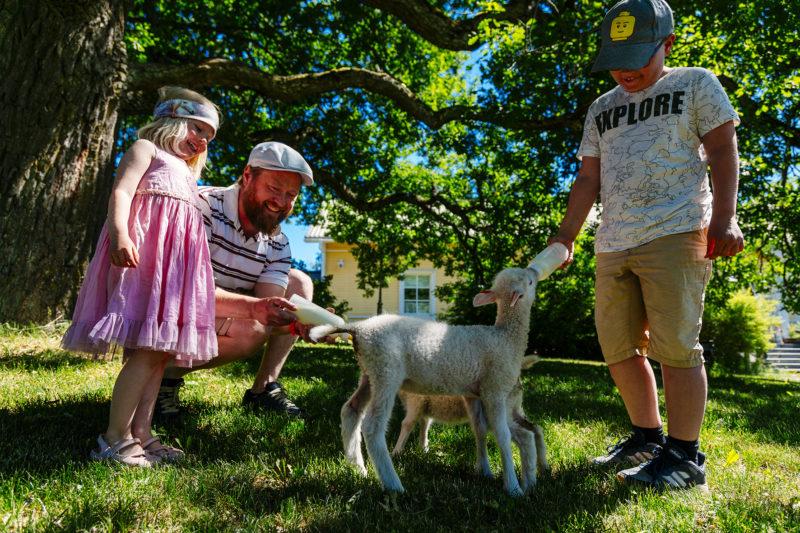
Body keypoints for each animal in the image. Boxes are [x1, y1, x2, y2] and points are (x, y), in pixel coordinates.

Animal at [390, 356, 548, 484]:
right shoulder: (426, 406)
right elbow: (425, 426)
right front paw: (423, 449)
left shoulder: (416, 402)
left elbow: (407, 424)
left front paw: (396, 453)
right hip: (514, 408)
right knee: (536, 429)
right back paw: (543, 469)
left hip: (499, 410)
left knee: (525, 436)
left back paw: (529, 483)